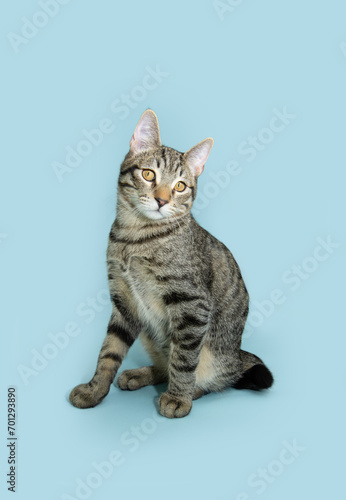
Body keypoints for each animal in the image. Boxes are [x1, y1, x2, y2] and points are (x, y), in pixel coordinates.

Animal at [70, 109, 274, 418]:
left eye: (180, 186)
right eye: (148, 174)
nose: (161, 200)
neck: (134, 237)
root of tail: (239, 355)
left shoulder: (192, 304)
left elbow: (184, 358)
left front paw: (178, 398)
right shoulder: (124, 299)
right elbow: (109, 351)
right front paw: (94, 390)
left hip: (215, 353)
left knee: (207, 377)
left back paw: (185, 391)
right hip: (148, 331)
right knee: (165, 364)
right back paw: (141, 374)